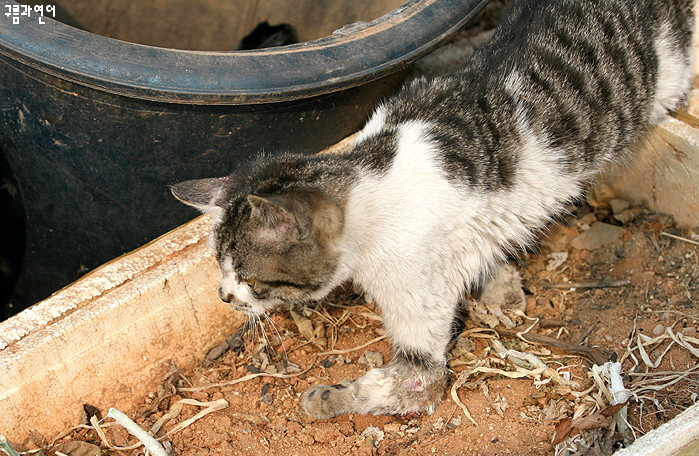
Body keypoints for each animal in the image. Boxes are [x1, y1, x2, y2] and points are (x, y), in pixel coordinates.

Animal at [172, 0, 696, 420]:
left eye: (249, 278)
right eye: (220, 269)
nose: (223, 296)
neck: (370, 173)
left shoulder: (418, 297)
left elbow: (414, 384)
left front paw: (327, 399)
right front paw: (502, 286)